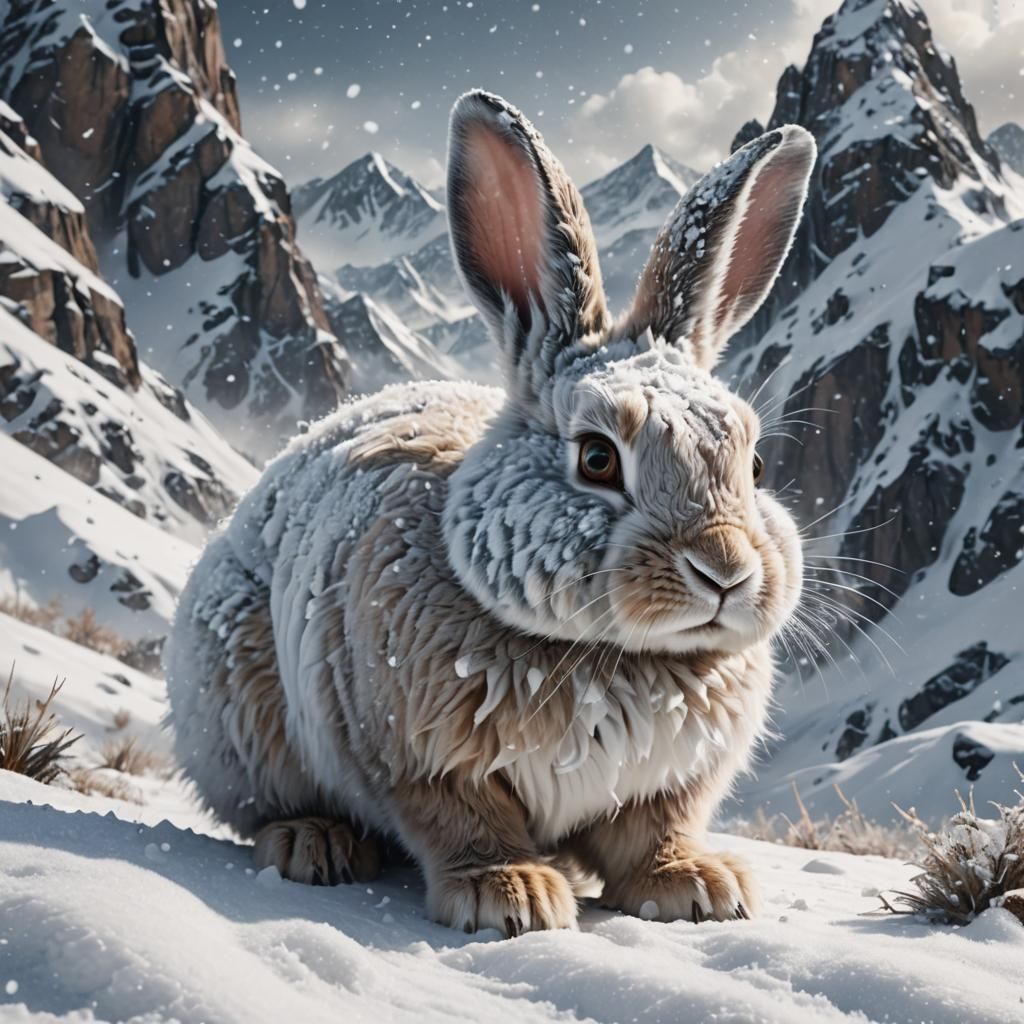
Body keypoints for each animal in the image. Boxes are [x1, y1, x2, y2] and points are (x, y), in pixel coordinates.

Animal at [165, 89, 814, 936]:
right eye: (597, 458)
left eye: (755, 465)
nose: (726, 571)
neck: (611, 655)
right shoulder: (421, 758)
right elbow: (465, 822)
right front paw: (513, 897)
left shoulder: (668, 784)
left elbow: (656, 832)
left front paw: (698, 887)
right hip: (242, 708)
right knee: (271, 805)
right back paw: (315, 843)